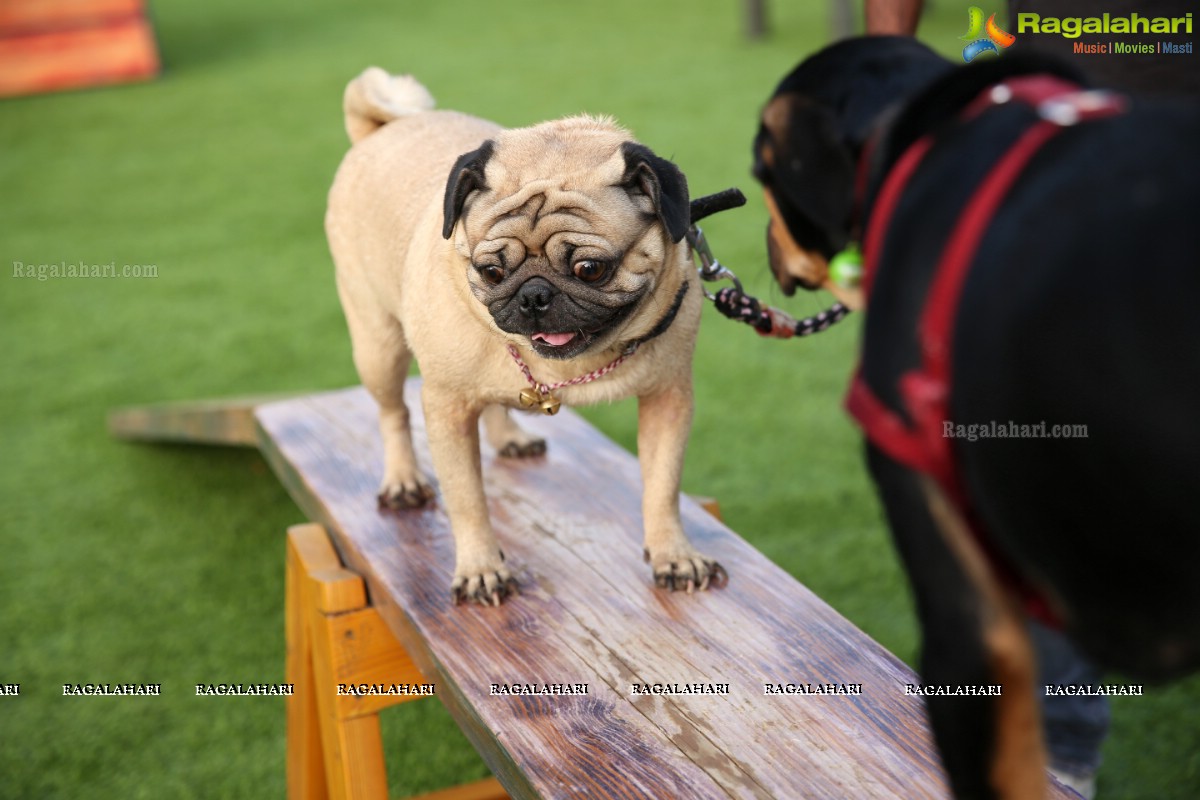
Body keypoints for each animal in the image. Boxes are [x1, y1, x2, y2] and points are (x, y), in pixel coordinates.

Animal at [324, 68, 724, 606]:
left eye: (590, 269)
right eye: (491, 272)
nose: (534, 294)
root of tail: (379, 128)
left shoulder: (668, 398)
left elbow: (662, 486)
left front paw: (673, 555)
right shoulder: (446, 406)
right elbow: (467, 498)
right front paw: (480, 567)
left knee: (494, 399)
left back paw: (509, 436)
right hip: (377, 343)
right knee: (393, 412)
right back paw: (403, 478)